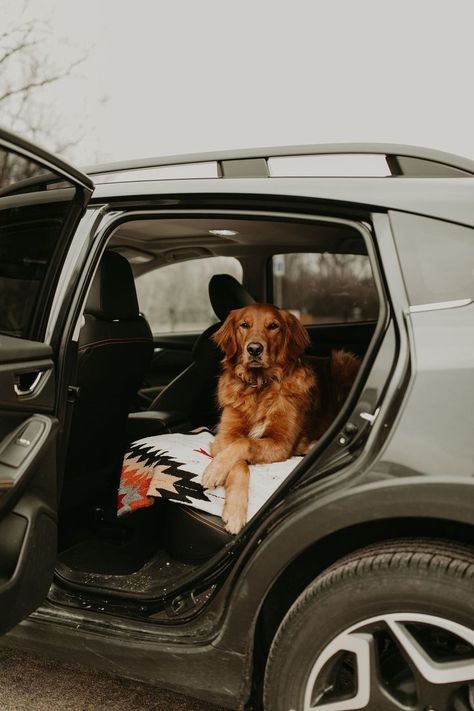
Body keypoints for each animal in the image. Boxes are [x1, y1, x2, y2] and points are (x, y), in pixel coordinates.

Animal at [202, 304, 362, 536]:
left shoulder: (281, 442)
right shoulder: (225, 435)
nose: (254, 349)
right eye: (244, 325)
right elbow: (239, 461)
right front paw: (233, 509)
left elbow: (245, 443)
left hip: (342, 361)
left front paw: (215, 472)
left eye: (273, 326)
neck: (259, 386)